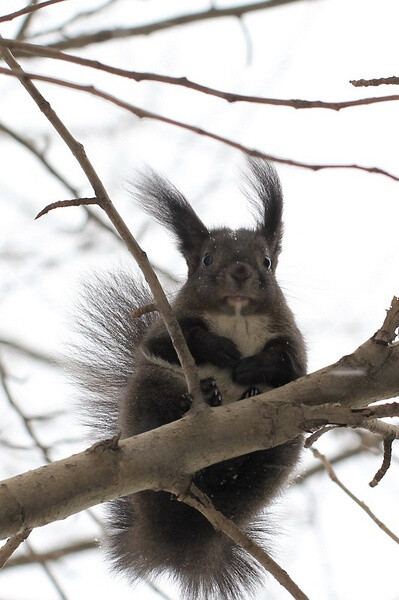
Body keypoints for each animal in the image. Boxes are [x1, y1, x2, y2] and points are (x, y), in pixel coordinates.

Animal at [73, 158, 308, 600]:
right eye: (207, 259)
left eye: (267, 261)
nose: (240, 272)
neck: (236, 316)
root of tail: (176, 535)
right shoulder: (168, 327)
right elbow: (168, 344)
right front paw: (222, 350)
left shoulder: (292, 343)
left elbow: (289, 368)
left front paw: (250, 369)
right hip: (151, 390)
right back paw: (202, 398)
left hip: (281, 445)